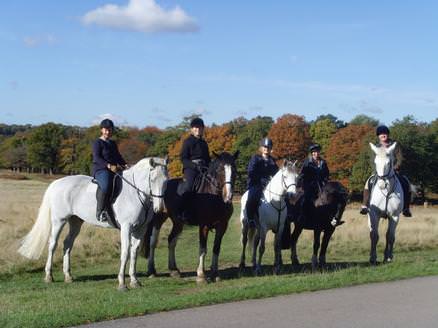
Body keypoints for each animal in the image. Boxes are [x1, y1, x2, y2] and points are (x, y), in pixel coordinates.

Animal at [18, 158, 168, 290]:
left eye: (166, 180)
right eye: (153, 179)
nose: (160, 208)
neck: (134, 193)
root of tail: (56, 183)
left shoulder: (140, 229)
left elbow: (134, 253)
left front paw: (134, 281)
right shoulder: (126, 227)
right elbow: (125, 252)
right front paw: (122, 283)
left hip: (75, 222)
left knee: (67, 244)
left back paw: (68, 276)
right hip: (59, 221)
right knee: (53, 245)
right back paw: (49, 276)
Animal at [144, 151, 238, 282]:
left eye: (234, 169)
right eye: (220, 170)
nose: (228, 197)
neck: (215, 197)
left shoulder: (222, 226)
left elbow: (216, 248)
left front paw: (215, 273)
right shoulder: (204, 226)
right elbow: (203, 249)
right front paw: (201, 275)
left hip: (178, 223)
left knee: (171, 240)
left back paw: (174, 270)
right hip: (159, 218)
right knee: (153, 241)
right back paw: (151, 270)